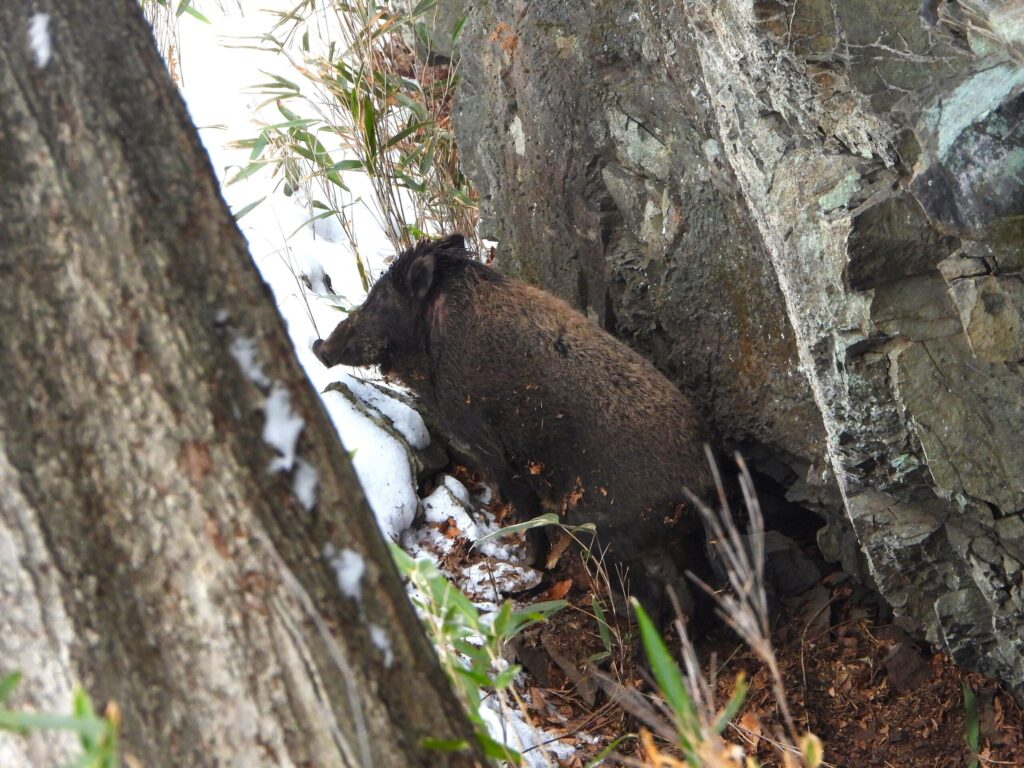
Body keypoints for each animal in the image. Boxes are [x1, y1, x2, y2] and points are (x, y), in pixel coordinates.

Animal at [313, 234, 713, 614]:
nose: (319, 346)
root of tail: (701, 485)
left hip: (605, 530)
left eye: (381, 298)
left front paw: (524, 560)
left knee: (658, 597)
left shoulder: (488, 442)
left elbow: (523, 504)